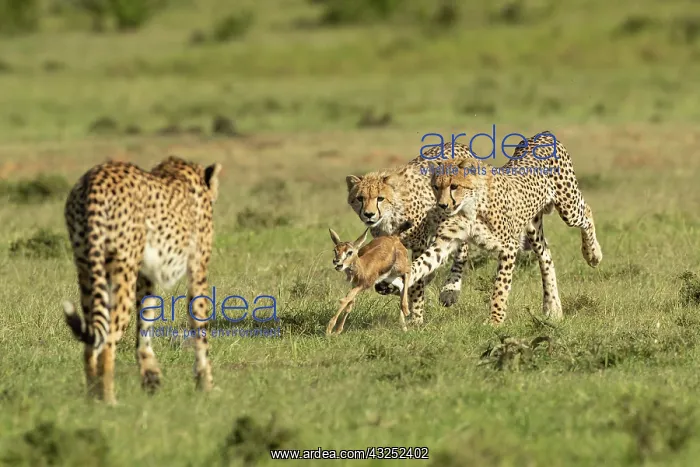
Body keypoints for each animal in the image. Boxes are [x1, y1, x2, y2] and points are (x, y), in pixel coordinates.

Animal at [61, 155, 222, 405]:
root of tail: (93, 181)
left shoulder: (146, 276)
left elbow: (145, 319)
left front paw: (150, 375)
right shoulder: (197, 269)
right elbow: (199, 324)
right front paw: (206, 384)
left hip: (87, 269)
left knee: (91, 342)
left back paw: (92, 400)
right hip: (123, 271)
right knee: (107, 342)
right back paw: (109, 401)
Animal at [345, 141, 477, 325]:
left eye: (380, 198)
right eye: (360, 198)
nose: (369, 214)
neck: (390, 216)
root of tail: (457, 144)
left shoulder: (419, 245)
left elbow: (417, 282)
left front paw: (417, 318)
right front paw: (390, 287)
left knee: (461, 253)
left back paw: (450, 291)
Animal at [387, 131, 603, 325]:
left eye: (454, 186)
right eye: (436, 187)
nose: (442, 205)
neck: (471, 204)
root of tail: (543, 134)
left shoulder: (509, 246)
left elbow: (500, 286)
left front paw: (495, 321)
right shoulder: (445, 241)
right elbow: (421, 264)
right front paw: (390, 283)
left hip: (568, 206)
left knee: (587, 212)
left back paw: (592, 254)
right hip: (533, 226)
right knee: (546, 257)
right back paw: (553, 307)